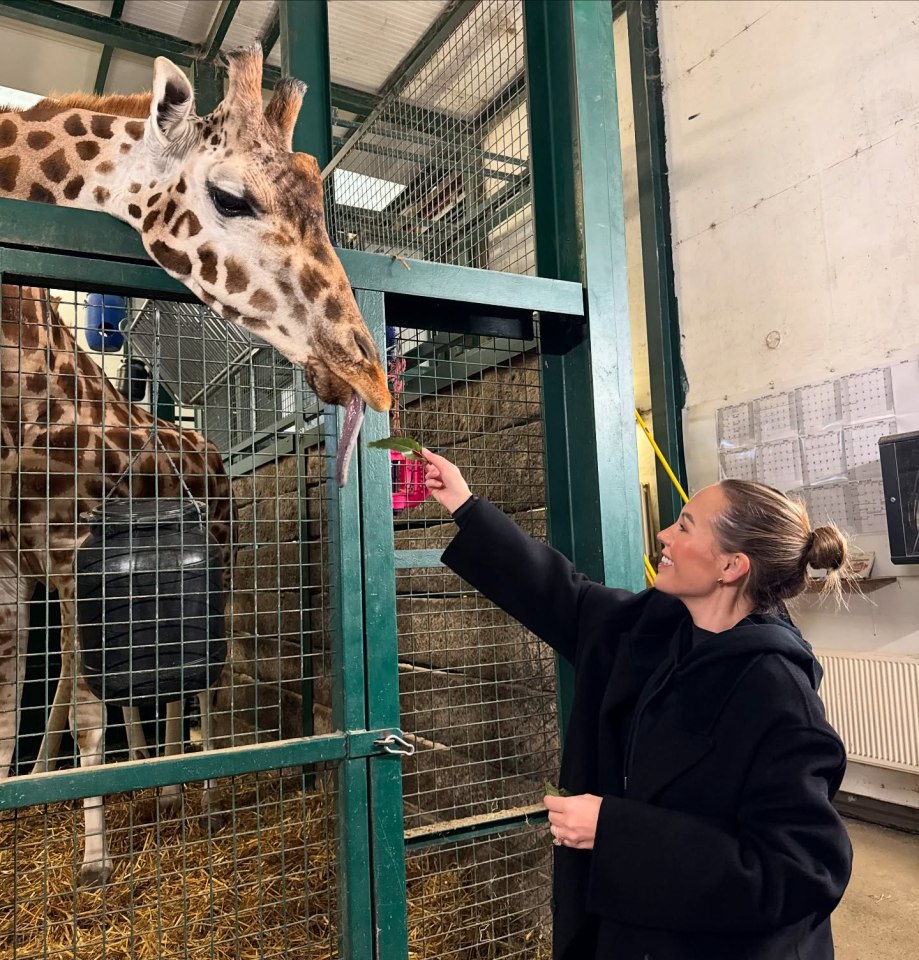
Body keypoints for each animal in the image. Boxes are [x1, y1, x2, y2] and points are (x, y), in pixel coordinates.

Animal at [0, 282, 234, 880]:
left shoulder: (70, 551)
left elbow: (87, 717)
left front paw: (94, 860)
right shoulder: (15, 569)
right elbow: (10, 704)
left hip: (222, 561)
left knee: (204, 683)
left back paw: (200, 792)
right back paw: (156, 783)